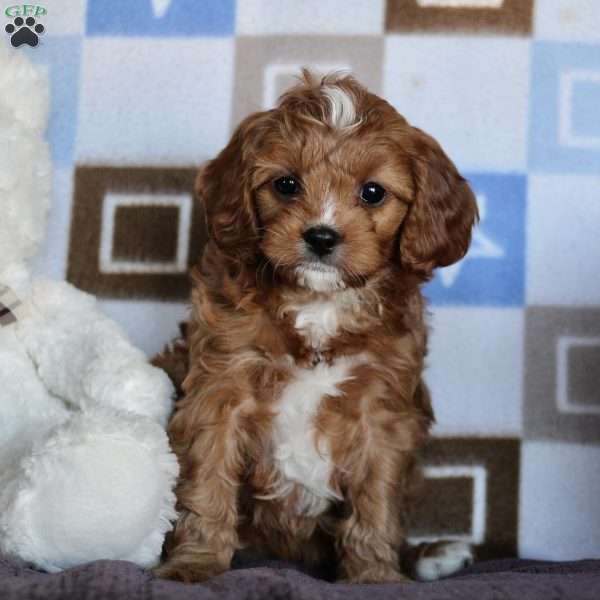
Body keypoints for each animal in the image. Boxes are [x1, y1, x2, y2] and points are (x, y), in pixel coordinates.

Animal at [155, 69, 478, 580]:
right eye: (286, 184)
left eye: (372, 192)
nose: (322, 236)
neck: (319, 303)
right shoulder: (220, 388)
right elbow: (207, 483)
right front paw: (195, 564)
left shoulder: (382, 412)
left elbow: (375, 504)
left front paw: (374, 575)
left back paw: (428, 555)